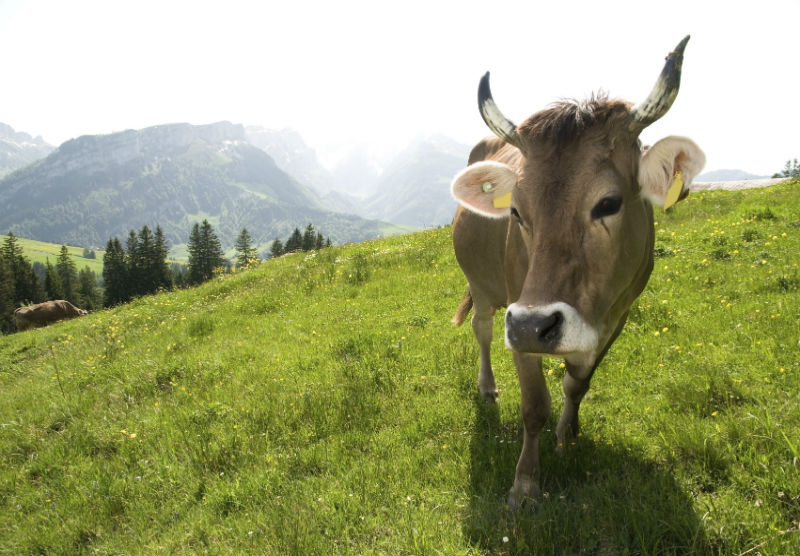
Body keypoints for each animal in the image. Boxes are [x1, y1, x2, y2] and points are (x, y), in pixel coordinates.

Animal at [450, 36, 705, 508]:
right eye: (516, 211)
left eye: (609, 203)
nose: (534, 325)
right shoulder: (520, 317)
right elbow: (534, 406)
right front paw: (525, 484)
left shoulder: (616, 317)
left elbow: (577, 385)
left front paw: (568, 436)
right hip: (482, 286)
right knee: (483, 331)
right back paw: (487, 387)